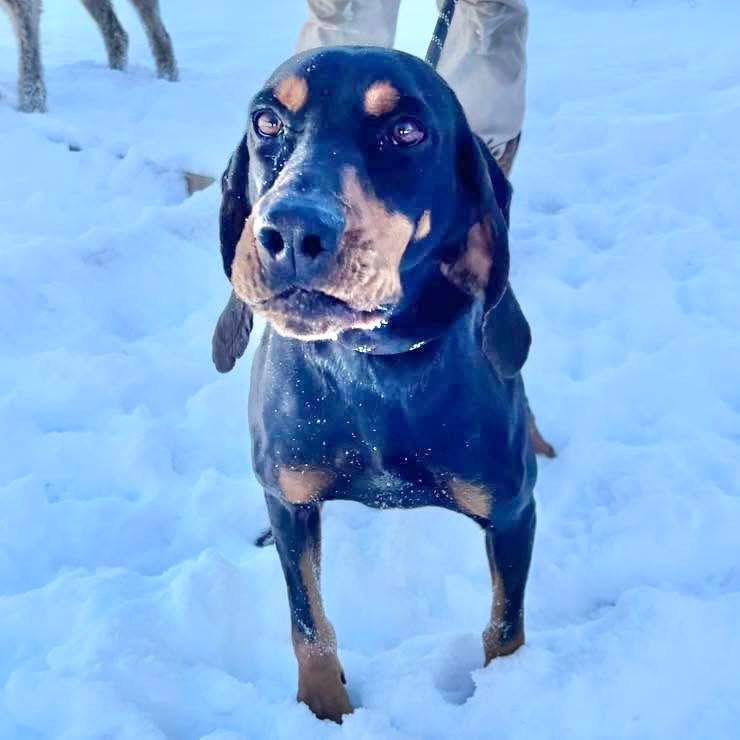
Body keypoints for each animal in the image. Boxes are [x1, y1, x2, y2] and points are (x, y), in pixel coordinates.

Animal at [0, 0, 177, 112]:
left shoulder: (25, 6)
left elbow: (31, 63)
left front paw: (33, 109)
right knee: (118, 33)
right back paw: (116, 72)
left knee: (160, 34)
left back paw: (168, 76)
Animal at [212, 47, 536, 724]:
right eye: (266, 122)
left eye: (406, 132)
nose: (290, 232)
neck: (373, 366)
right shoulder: (293, 503)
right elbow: (308, 624)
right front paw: (325, 710)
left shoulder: (514, 513)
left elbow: (505, 630)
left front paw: (510, 695)